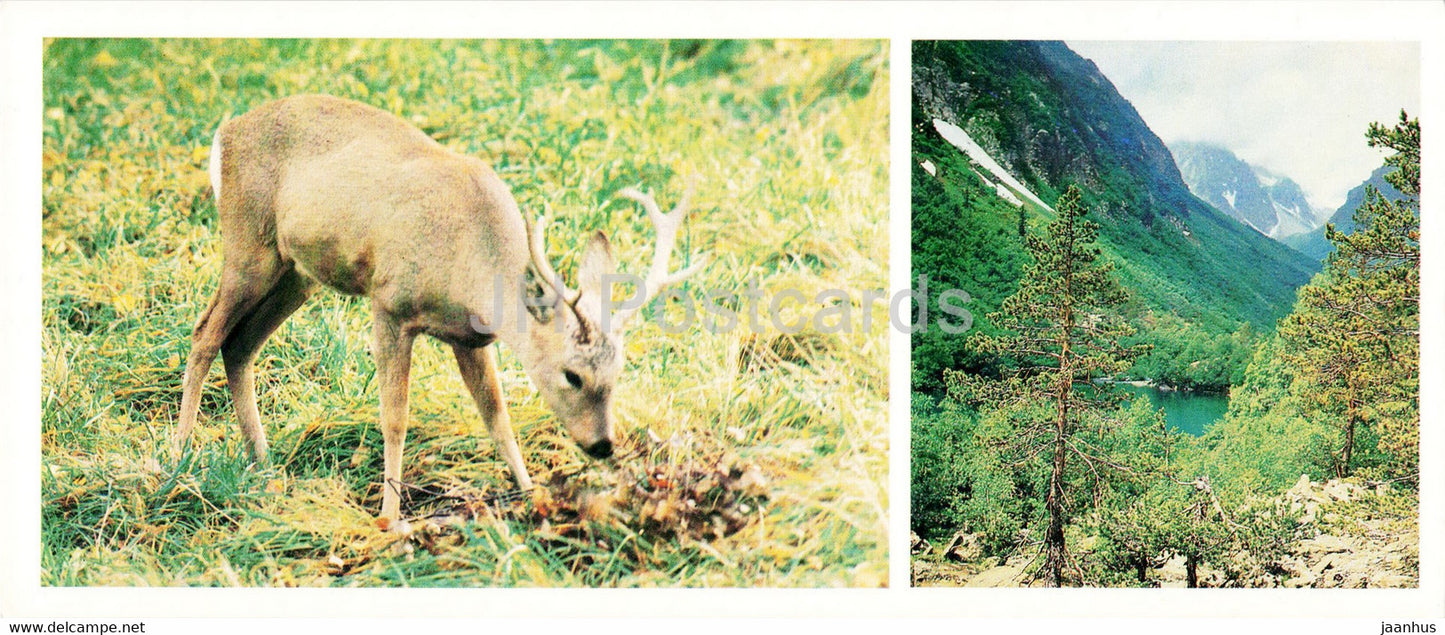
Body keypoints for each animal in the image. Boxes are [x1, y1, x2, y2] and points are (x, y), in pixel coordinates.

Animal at [174, 94, 705, 520]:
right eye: (572, 375)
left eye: (618, 371)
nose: (602, 444)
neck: (470, 262)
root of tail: (226, 133)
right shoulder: (388, 302)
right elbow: (395, 418)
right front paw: (390, 517)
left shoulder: (469, 337)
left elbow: (497, 417)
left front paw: (530, 494)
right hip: (248, 244)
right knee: (205, 333)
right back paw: (178, 456)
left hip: (296, 275)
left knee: (239, 346)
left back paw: (264, 464)